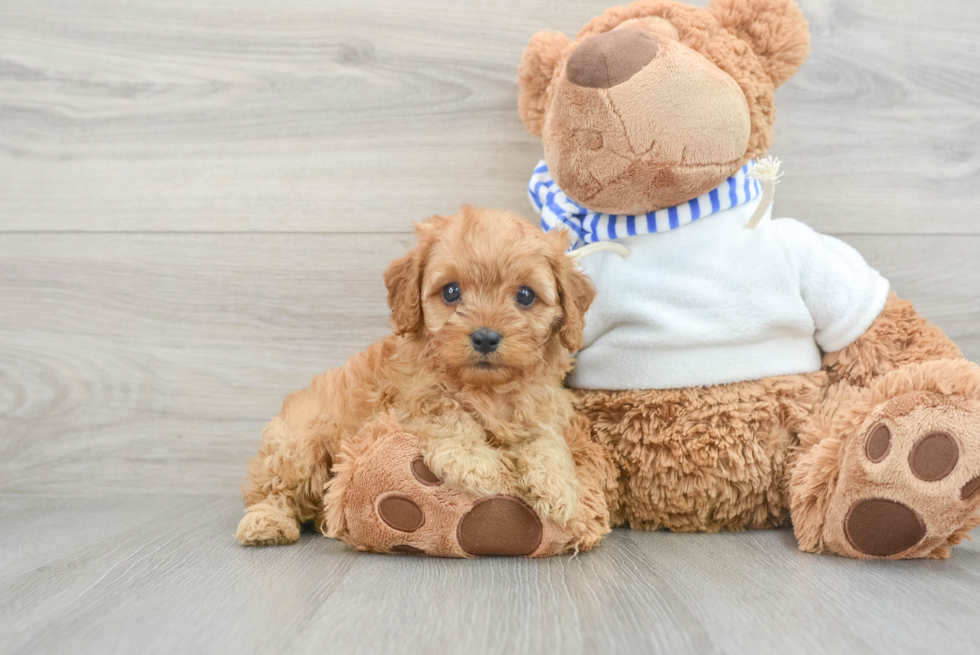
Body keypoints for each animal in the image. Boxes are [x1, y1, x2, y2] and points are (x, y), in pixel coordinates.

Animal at [235, 208, 596, 544]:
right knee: (271, 490)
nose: (485, 338)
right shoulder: (411, 399)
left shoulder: (541, 408)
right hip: (299, 446)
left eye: (525, 295)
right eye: (451, 291)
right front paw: (473, 461)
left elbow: (547, 440)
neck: (486, 388)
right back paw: (266, 522)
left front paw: (560, 487)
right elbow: (448, 411)